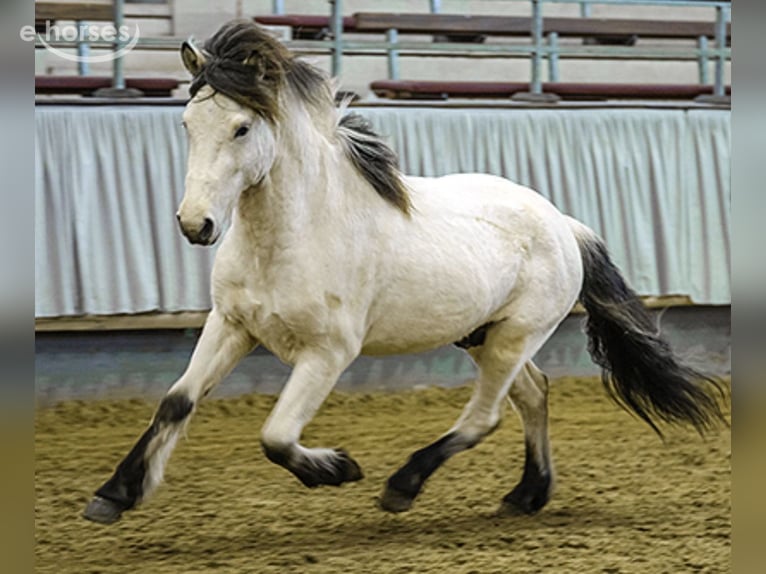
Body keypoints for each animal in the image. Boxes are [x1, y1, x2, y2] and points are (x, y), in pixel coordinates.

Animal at [83, 20, 725, 525]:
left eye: (242, 127)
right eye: (188, 124)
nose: (197, 224)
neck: (297, 235)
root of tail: (564, 224)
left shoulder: (328, 353)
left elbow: (276, 436)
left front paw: (338, 469)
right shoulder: (231, 325)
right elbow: (176, 402)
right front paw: (113, 495)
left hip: (516, 334)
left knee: (487, 414)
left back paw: (403, 486)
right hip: (484, 335)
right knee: (533, 394)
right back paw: (526, 495)